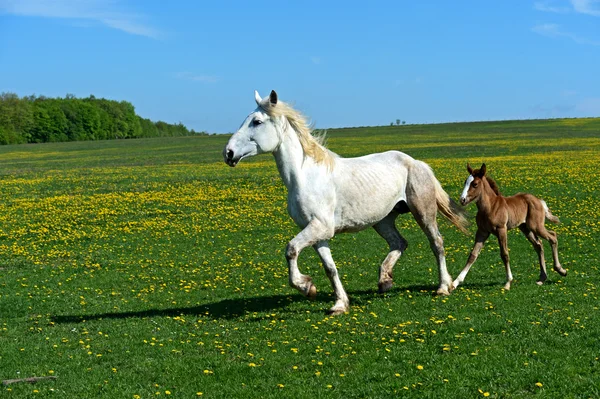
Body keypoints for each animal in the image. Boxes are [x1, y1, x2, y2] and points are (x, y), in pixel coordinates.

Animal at [223, 91, 466, 316]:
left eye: (256, 121)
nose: (228, 153)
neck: (305, 176)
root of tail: (416, 162)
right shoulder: (317, 233)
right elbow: (330, 268)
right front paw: (338, 304)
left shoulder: (319, 227)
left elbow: (291, 249)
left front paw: (306, 287)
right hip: (383, 220)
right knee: (399, 243)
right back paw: (384, 281)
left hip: (423, 212)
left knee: (436, 243)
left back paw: (444, 287)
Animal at [454, 162, 568, 290]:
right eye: (465, 182)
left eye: (474, 184)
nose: (462, 200)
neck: (490, 207)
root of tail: (539, 201)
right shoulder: (482, 232)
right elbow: (472, 255)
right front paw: (454, 283)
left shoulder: (501, 230)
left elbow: (504, 254)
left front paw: (508, 282)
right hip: (525, 228)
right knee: (539, 245)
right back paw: (542, 278)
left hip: (536, 226)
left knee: (552, 236)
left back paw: (561, 270)